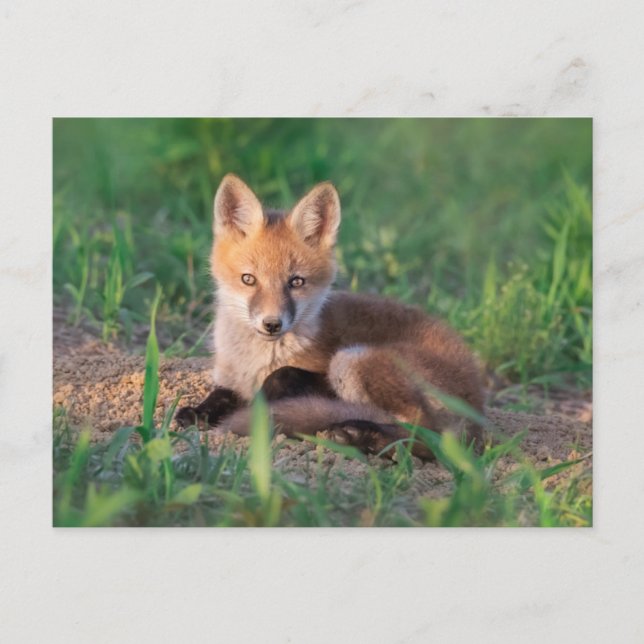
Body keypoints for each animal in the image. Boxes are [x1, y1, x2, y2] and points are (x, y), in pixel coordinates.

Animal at [175, 174, 485, 458]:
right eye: (248, 279)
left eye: (296, 282)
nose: (272, 324)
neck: (255, 361)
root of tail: (478, 407)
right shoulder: (229, 379)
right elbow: (220, 394)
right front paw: (199, 412)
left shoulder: (318, 374)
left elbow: (281, 375)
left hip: (352, 359)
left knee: (429, 437)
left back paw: (362, 435)